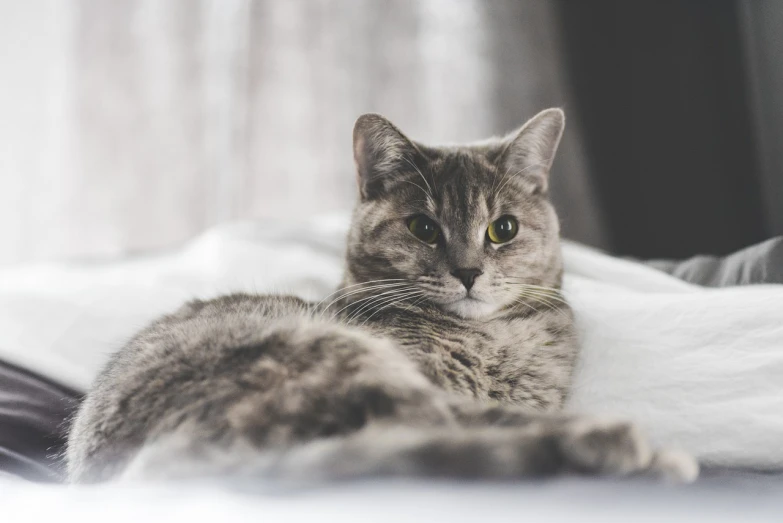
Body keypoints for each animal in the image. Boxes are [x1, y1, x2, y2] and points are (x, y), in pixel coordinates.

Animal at [64, 108, 696, 486]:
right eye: (422, 228)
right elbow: (489, 418)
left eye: (504, 229)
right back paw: (626, 448)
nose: (468, 272)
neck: (489, 340)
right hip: (339, 362)